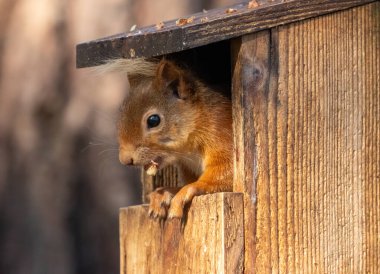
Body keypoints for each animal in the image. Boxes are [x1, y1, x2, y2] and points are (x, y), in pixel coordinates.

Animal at [113, 58, 232, 219]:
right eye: (120, 119)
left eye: (153, 120)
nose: (125, 160)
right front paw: (163, 193)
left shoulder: (222, 134)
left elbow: (226, 172)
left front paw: (189, 189)